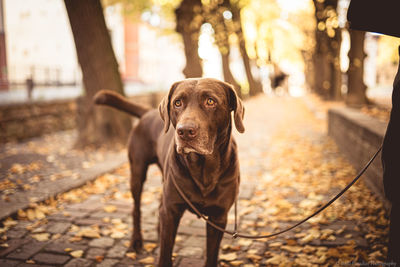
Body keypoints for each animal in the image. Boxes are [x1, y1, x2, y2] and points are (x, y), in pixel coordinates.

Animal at [94, 78, 244, 266]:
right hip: (137, 172)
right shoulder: (171, 210)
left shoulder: (219, 216)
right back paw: (136, 241)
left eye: (210, 101)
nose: (185, 131)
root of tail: (148, 112)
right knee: (136, 209)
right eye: (177, 103)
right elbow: (165, 253)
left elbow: (212, 254)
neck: (201, 168)